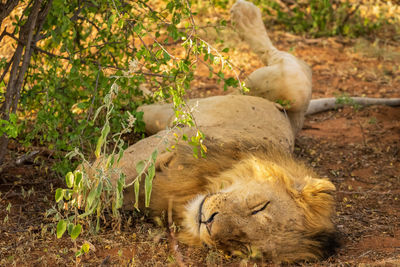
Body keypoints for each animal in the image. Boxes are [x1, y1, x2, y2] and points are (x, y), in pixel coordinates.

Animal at [88, 0, 338, 264]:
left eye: (242, 248)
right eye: (259, 207)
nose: (207, 222)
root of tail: (294, 122)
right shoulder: (174, 140)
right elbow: (111, 173)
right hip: (285, 88)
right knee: (282, 57)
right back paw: (245, 13)